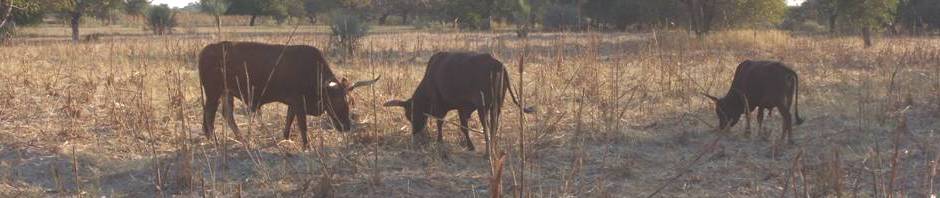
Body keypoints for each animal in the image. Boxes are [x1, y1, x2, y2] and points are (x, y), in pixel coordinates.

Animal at [198, 41, 378, 147]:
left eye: (348, 102)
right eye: (337, 102)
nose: (346, 126)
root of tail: (206, 50)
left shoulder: (293, 103)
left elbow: (288, 121)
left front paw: (286, 138)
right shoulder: (299, 102)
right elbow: (302, 125)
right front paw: (306, 146)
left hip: (226, 92)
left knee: (227, 114)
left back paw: (240, 139)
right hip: (213, 92)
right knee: (209, 115)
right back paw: (214, 140)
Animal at [378, 51, 532, 152]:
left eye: (411, 114)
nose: (415, 132)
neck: (430, 78)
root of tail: (498, 65)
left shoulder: (443, 104)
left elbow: (442, 123)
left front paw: (441, 140)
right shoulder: (462, 108)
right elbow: (463, 126)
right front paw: (469, 145)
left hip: (483, 107)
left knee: (487, 127)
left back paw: (487, 152)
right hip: (496, 106)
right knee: (494, 126)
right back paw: (492, 147)